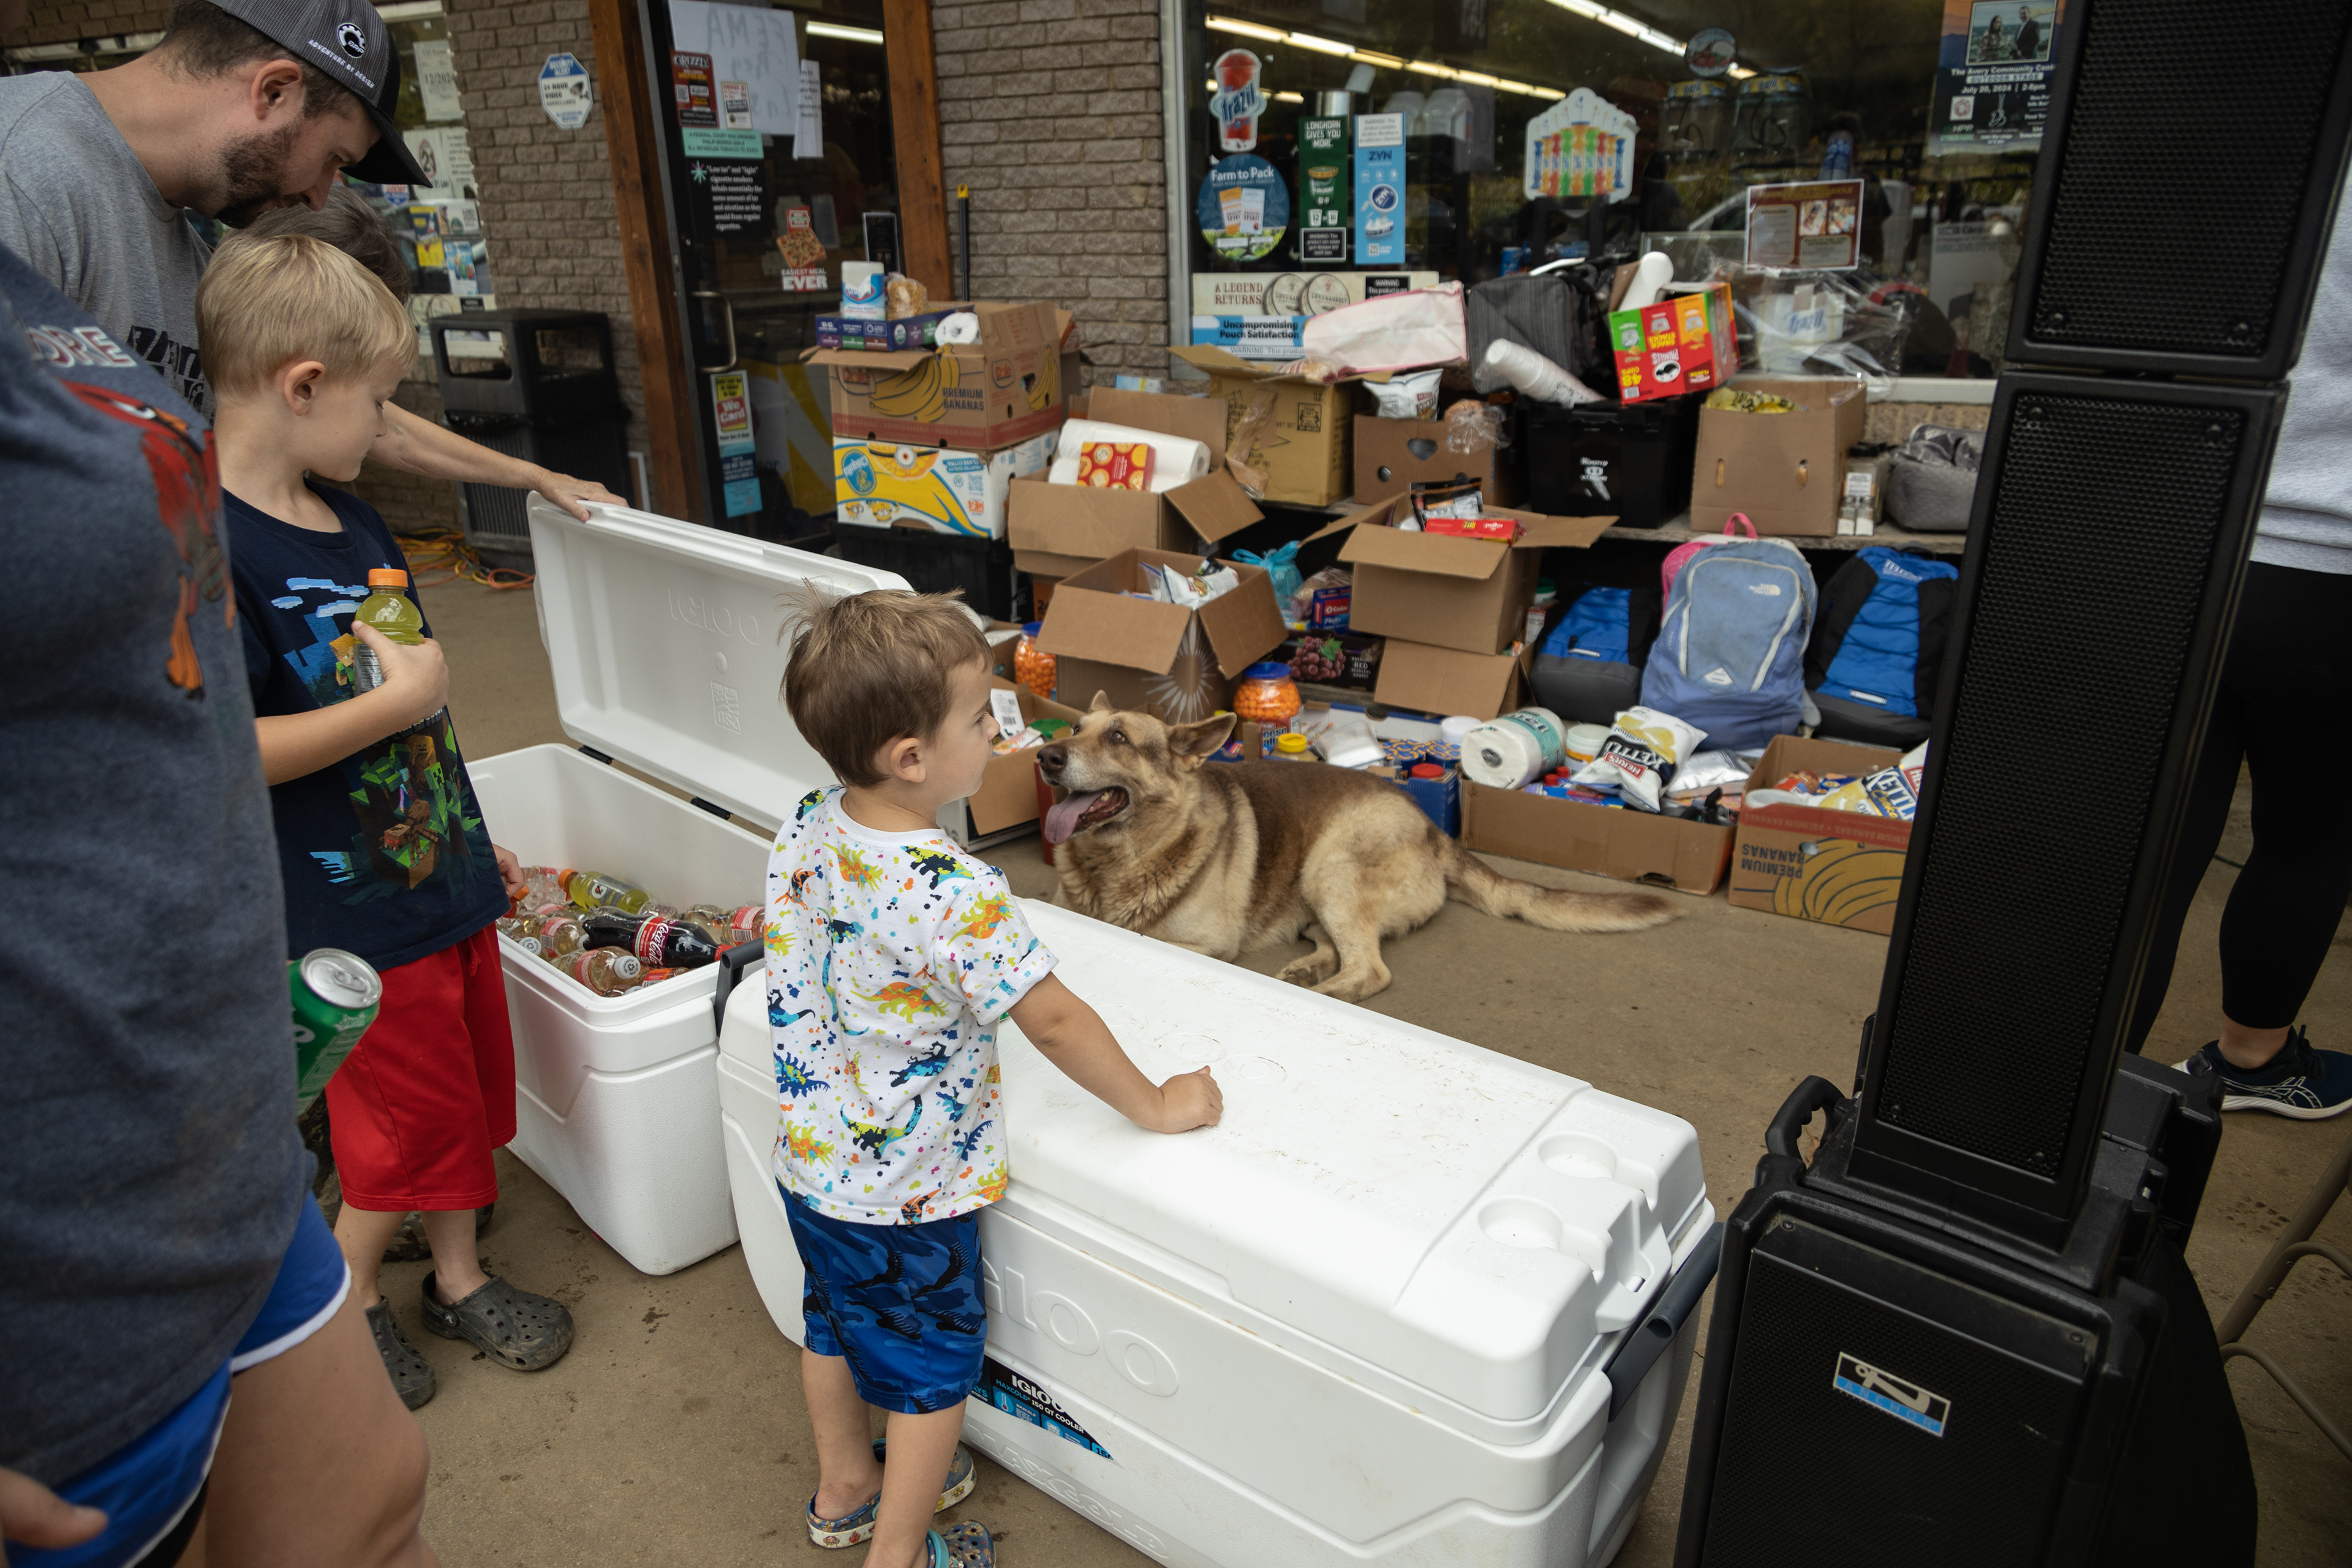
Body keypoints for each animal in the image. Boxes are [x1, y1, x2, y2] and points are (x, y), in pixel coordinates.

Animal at [1035, 697, 1681, 1002]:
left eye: (1119, 738)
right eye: (1076, 730)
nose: (1045, 756)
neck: (1120, 862)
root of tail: (1434, 828)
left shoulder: (1209, 943)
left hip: (1333, 870)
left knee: (1371, 970)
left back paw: (1321, 994)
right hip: (1316, 893)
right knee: (1340, 949)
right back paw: (1308, 969)